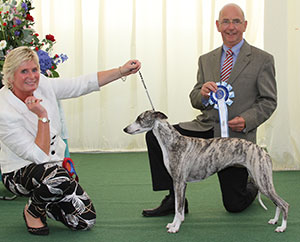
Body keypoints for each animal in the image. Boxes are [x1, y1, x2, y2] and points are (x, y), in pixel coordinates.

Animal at [123, 110, 288, 233]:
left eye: (140, 118)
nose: (125, 129)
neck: (172, 142)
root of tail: (263, 151)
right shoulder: (179, 183)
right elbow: (178, 207)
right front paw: (175, 224)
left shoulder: (179, 182)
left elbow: (178, 208)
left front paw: (175, 227)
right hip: (260, 179)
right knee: (277, 203)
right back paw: (274, 221)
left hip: (262, 181)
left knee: (284, 204)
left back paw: (282, 227)